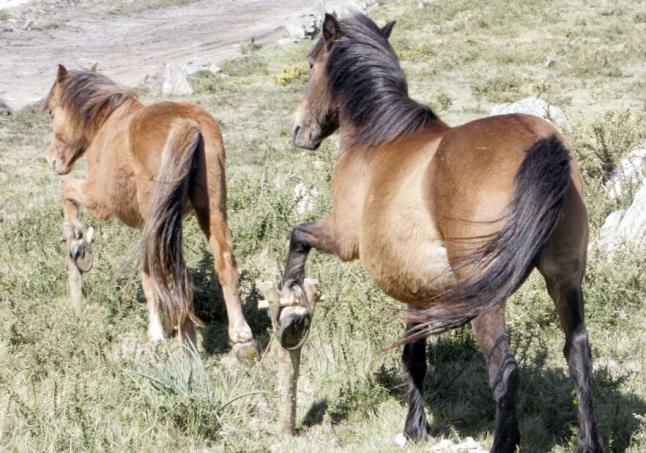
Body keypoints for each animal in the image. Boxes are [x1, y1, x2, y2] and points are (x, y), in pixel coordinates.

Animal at [43, 65, 258, 361]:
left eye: (52, 111)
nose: (52, 160)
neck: (108, 123)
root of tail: (187, 125)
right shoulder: (148, 226)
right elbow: (147, 275)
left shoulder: (101, 200)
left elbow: (68, 190)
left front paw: (75, 237)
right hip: (211, 211)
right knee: (224, 262)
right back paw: (241, 337)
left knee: (174, 273)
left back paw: (187, 347)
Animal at [281, 13, 603, 452]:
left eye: (312, 64)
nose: (299, 130)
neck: (378, 138)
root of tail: (540, 142)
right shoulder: (416, 291)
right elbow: (414, 358)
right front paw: (415, 428)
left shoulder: (342, 237)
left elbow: (298, 234)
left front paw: (290, 293)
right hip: (564, 278)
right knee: (578, 354)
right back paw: (590, 442)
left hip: (489, 298)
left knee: (505, 370)